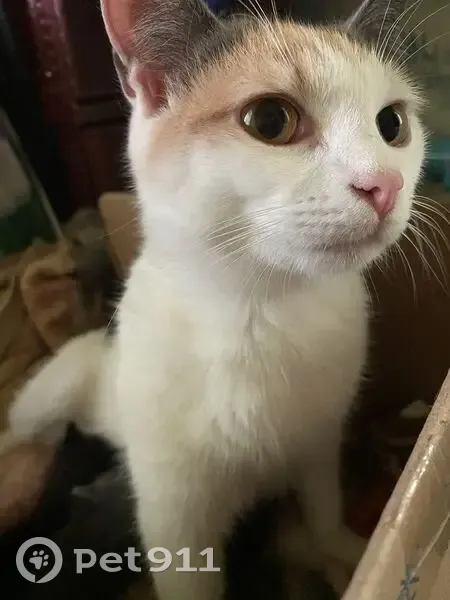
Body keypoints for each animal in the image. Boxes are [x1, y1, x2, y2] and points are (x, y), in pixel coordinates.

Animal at [7, 0, 425, 599]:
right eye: (270, 121)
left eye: (392, 125)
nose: (384, 185)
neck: (262, 310)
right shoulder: (175, 510)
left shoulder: (320, 442)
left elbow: (323, 505)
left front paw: (346, 550)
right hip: (57, 384)